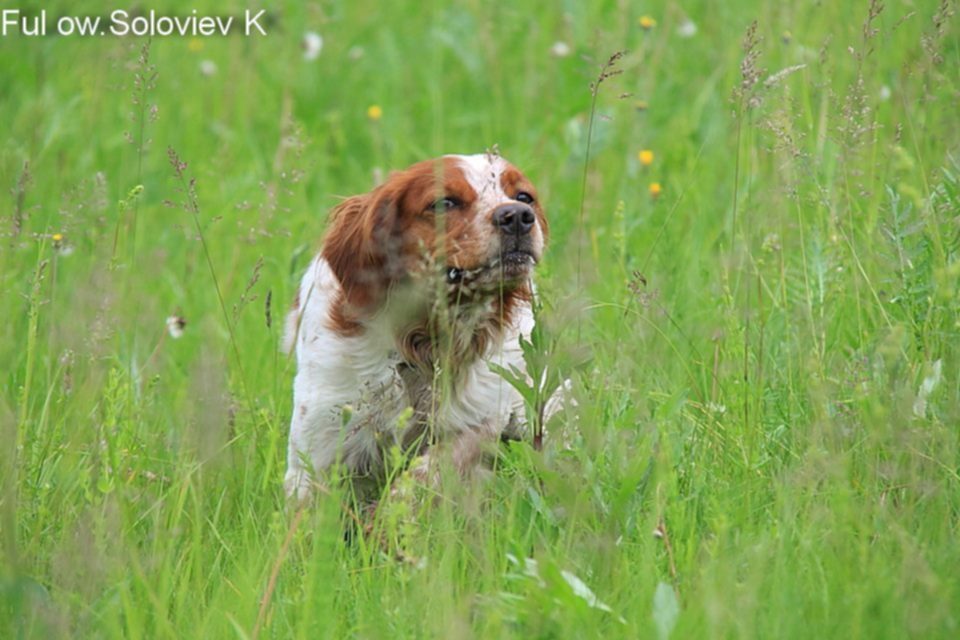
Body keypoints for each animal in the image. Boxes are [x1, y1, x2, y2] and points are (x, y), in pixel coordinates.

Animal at [282, 152, 548, 502]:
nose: (518, 216)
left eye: (524, 197)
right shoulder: (318, 446)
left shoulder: (480, 417)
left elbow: (427, 473)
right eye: (445, 202)